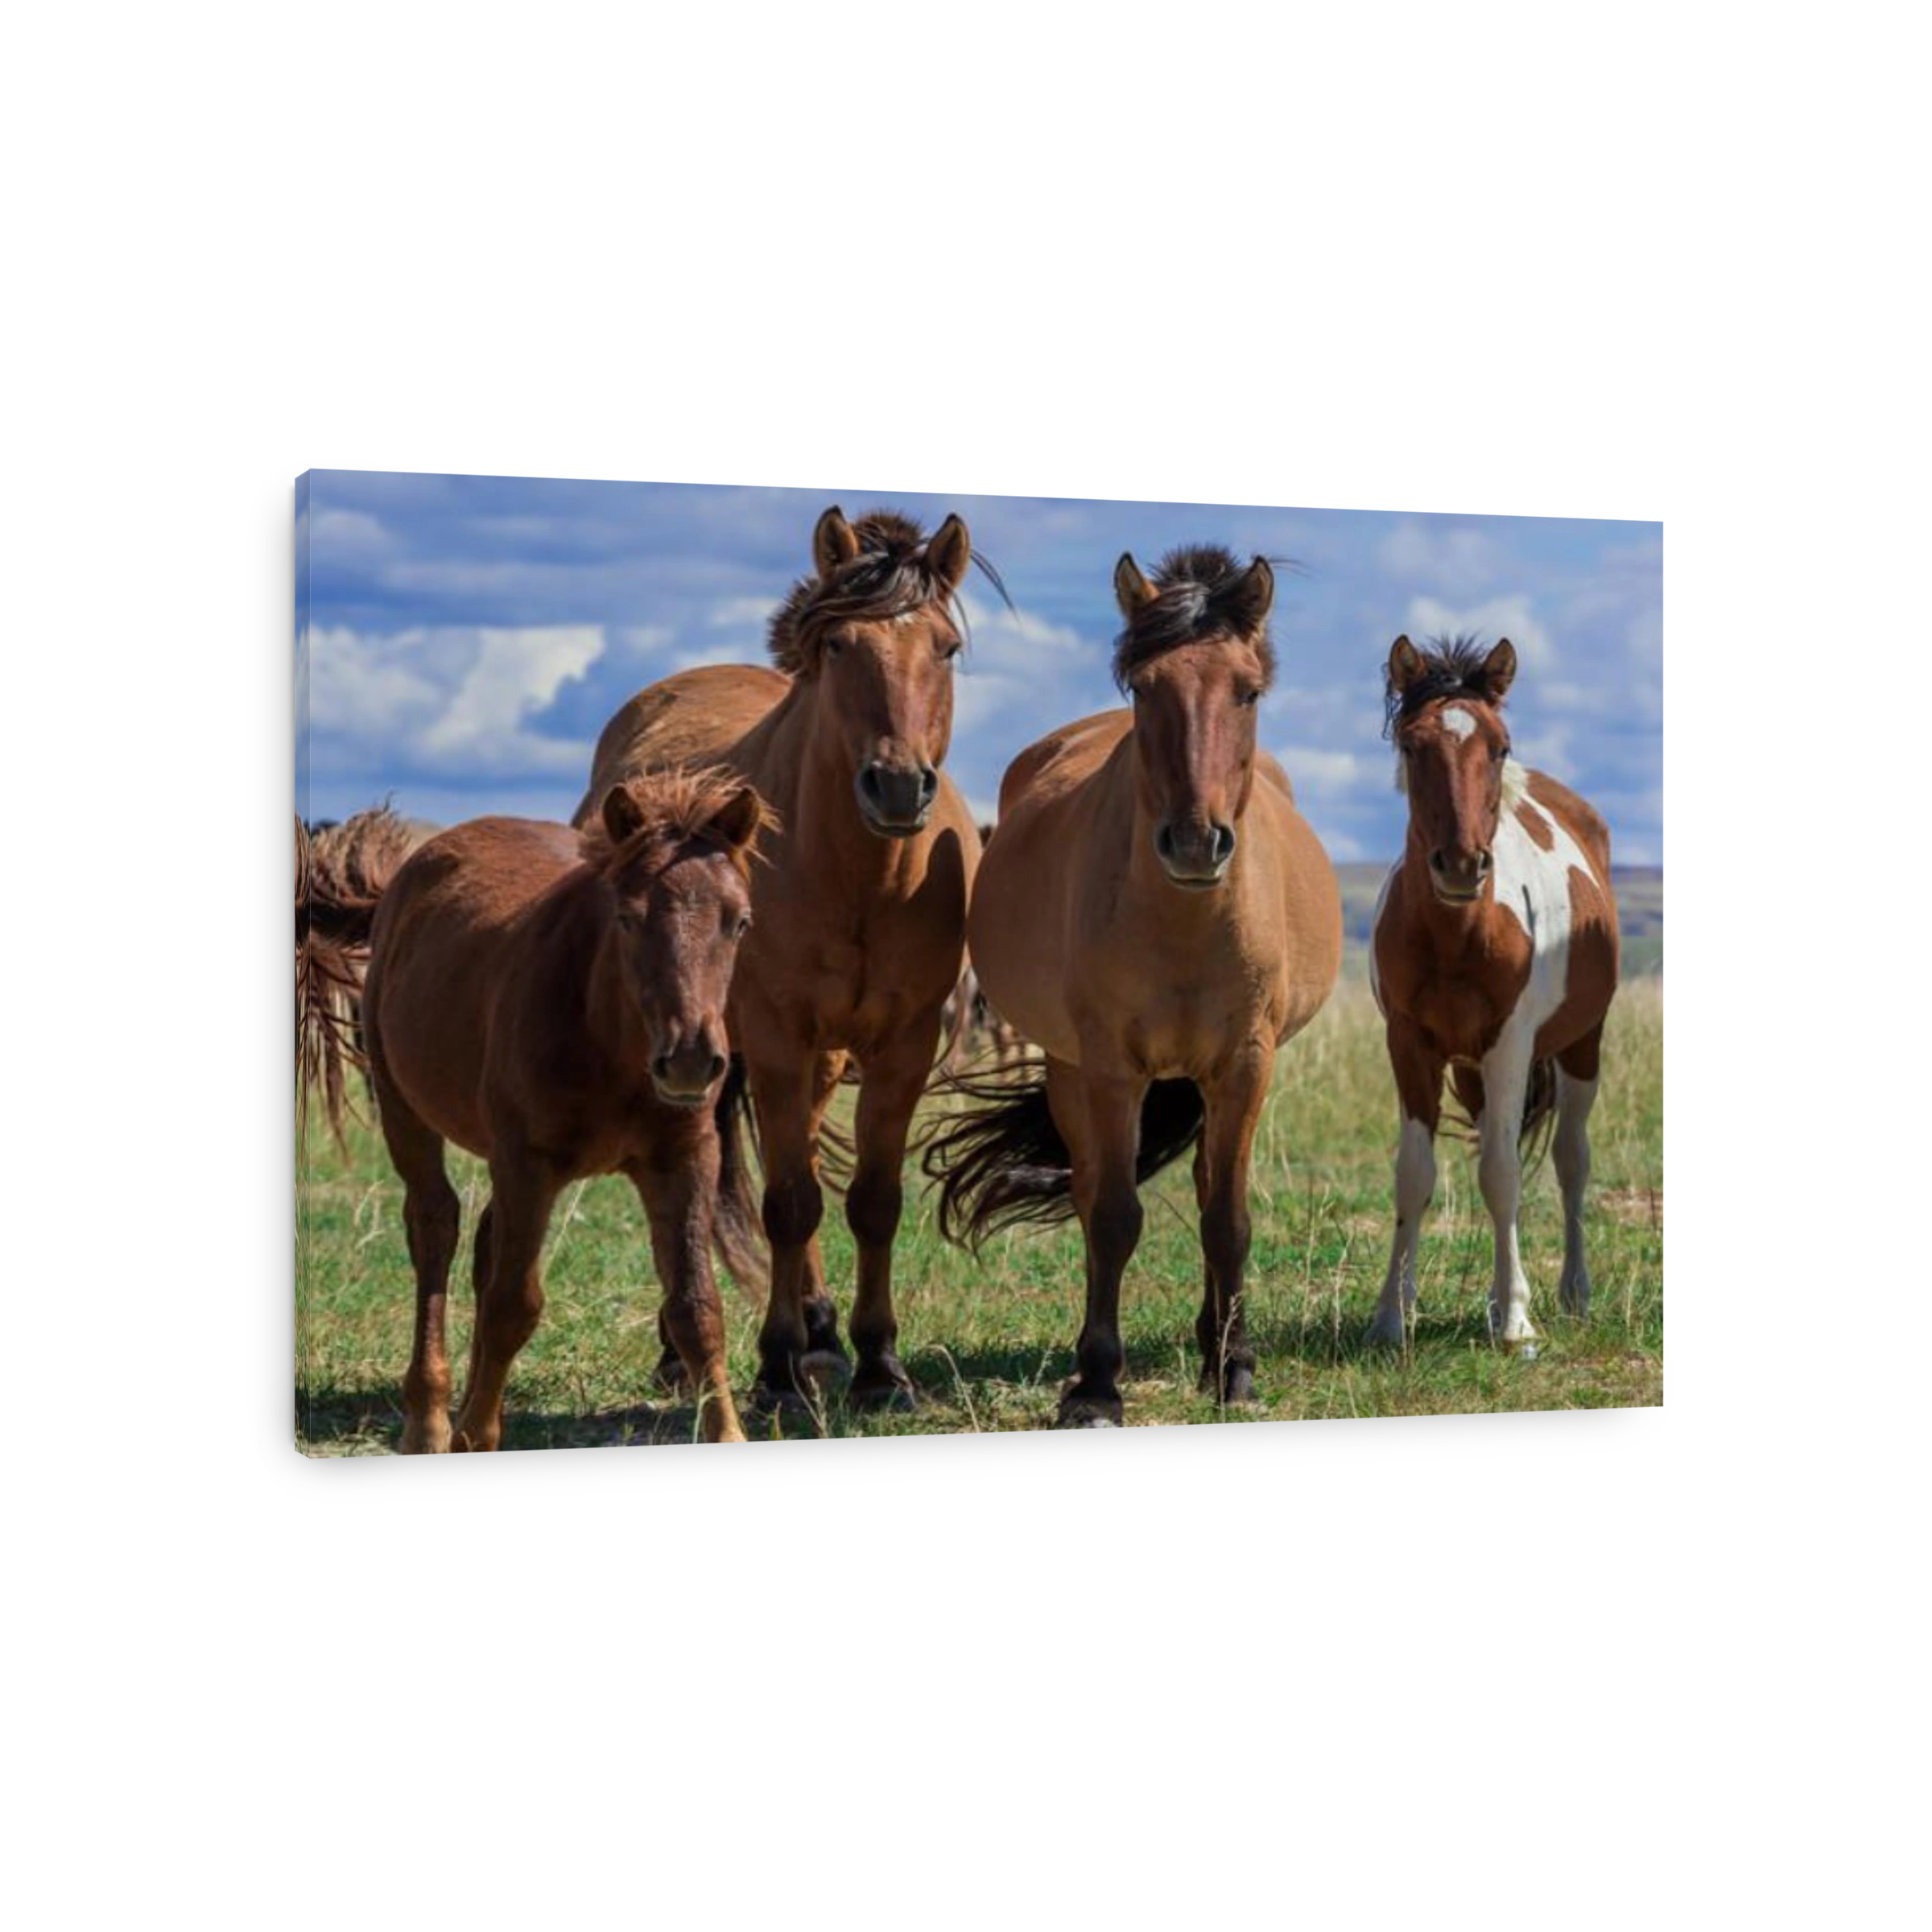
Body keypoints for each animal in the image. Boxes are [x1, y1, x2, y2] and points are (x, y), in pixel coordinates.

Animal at [301, 772, 774, 1451]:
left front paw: (727, 1431)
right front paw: (475, 1434)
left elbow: (696, 1306)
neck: (609, 1039)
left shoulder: (685, 1157)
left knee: (483, 1245)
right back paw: (431, 1420)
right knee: (435, 1228)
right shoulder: (529, 1161)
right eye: (628, 918)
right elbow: (513, 1305)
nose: (688, 1059)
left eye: (739, 922)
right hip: (406, 1111)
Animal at [577, 507, 987, 1411]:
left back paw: (822, 1332)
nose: (896, 787)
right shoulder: (771, 1038)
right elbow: (789, 1205)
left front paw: (878, 1365)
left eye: (944, 646)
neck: (861, 877)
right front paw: (775, 1371)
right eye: (837, 645)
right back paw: (683, 1351)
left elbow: (870, 1201)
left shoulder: (900, 1046)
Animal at [924, 547, 1342, 1428]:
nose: (1194, 842)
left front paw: (1236, 1368)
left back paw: (1210, 1344)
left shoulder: (1245, 1065)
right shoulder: (1112, 1069)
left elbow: (1228, 1217)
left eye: (1247, 690)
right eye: (1146, 688)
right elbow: (1114, 1217)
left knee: (1210, 1183)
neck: (1185, 924)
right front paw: (1096, 1382)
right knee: (1092, 1195)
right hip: (1071, 1070)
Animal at [1369, 636, 1620, 1356]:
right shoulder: (1412, 1044)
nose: (1461, 865)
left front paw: (1516, 1323)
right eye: (1412, 745)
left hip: (1580, 1047)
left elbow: (1504, 1176)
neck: (1458, 935)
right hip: (1472, 1069)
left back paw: (1571, 1292)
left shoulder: (1512, 1044)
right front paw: (1391, 1315)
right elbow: (1415, 1175)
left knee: (1569, 1161)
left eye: (1500, 746)